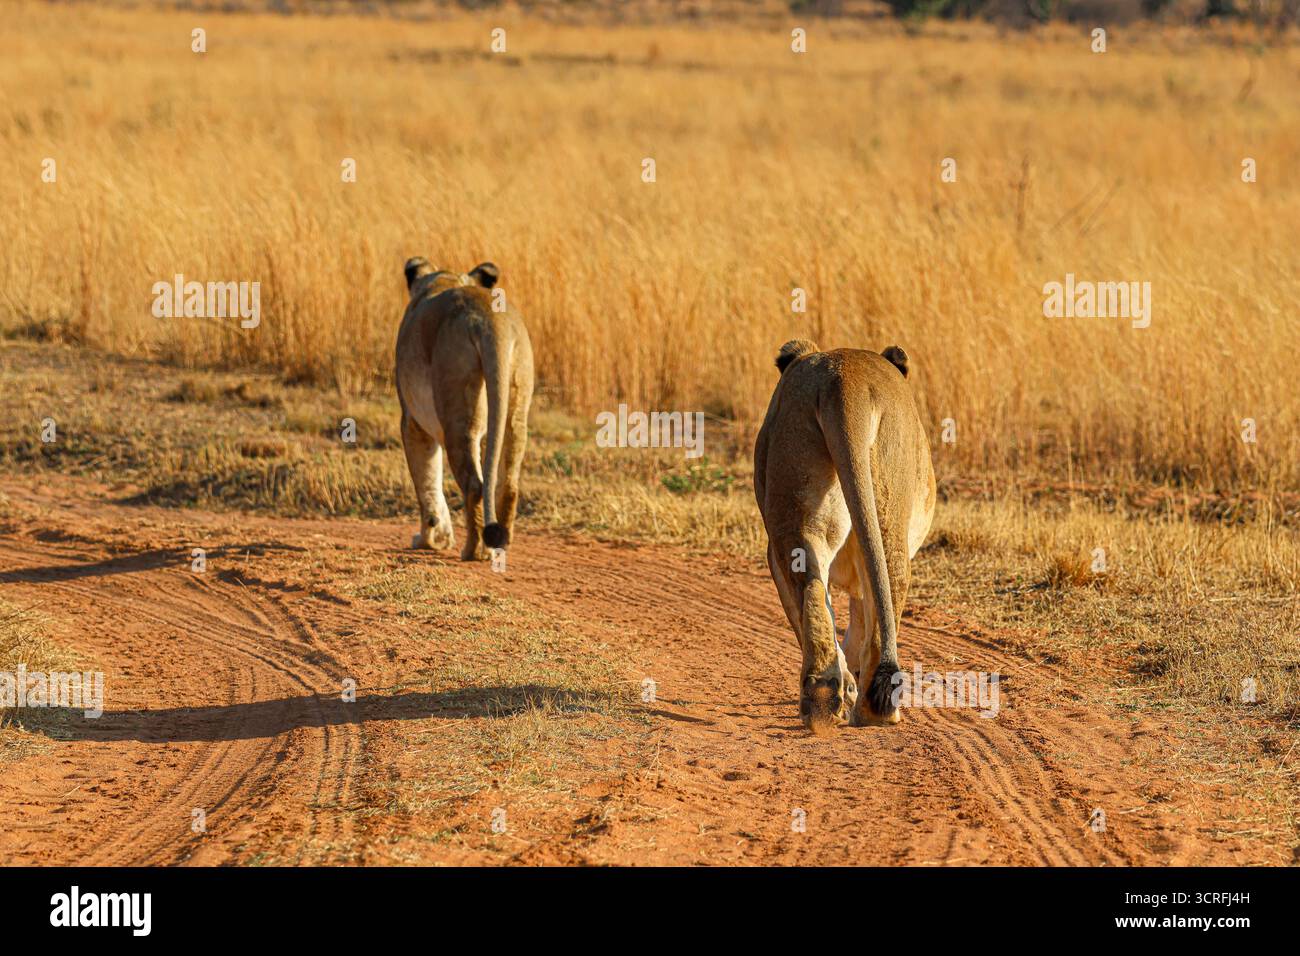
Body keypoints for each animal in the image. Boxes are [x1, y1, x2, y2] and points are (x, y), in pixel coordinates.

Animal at [395, 257, 534, 561]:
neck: (445, 279)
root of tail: (490, 320)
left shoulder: (412, 422)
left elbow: (427, 482)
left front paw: (430, 539)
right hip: (516, 411)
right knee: (508, 484)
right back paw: (499, 546)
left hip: (457, 415)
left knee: (474, 485)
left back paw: (473, 550)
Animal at [753, 339, 936, 734]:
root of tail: (842, 379)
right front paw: (850, 684)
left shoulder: (773, 553)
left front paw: (846, 685)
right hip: (886, 506)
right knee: (887, 586)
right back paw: (870, 709)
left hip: (801, 512)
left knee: (811, 588)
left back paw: (824, 699)